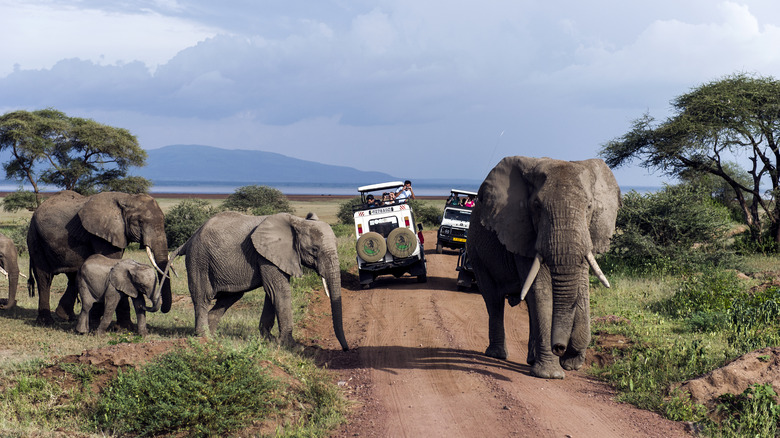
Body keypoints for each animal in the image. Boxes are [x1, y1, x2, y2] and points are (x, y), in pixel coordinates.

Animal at [27, 191, 172, 326]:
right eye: (140, 222)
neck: (127, 198)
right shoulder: (102, 233)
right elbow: (113, 262)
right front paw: (125, 327)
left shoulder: (117, 233)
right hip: (35, 237)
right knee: (44, 277)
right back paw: (46, 321)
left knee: (73, 276)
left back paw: (66, 317)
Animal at [160, 210, 348, 350]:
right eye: (314, 250)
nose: (345, 349)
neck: (298, 222)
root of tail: (189, 240)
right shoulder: (265, 255)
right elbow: (279, 291)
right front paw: (292, 347)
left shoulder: (275, 256)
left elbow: (272, 293)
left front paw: (268, 340)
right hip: (199, 260)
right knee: (202, 297)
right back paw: (204, 337)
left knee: (229, 297)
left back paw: (213, 337)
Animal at [464, 157, 620, 380]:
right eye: (536, 206)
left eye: (589, 206)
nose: (560, 347)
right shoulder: (522, 232)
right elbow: (542, 290)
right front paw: (551, 374)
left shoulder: (586, 234)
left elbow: (581, 287)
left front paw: (572, 363)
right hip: (476, 252)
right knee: (493, 299)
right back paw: (497, 355)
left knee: (527, 305)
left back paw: (530, 358)